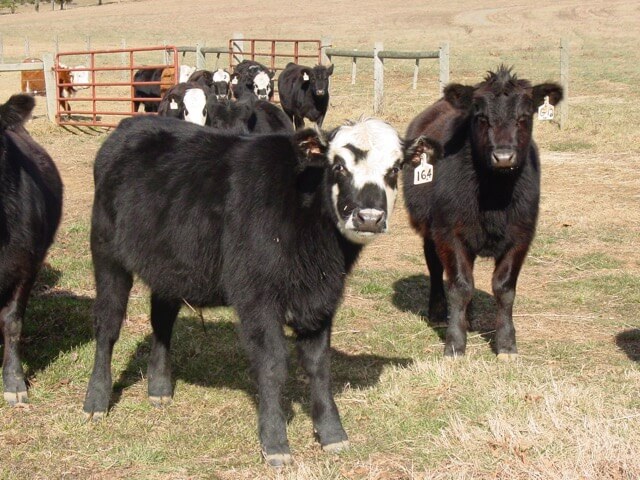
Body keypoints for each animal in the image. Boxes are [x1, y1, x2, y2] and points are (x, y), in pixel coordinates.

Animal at [82, 115, 403, 466]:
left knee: (162, 321)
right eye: (339, 167)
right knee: (108, 325)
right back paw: (96, 400)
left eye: (395, 169)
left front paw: (333, 434)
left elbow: (319, 364)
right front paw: (275, 442)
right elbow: (273, 365)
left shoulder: (321, 300)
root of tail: (130, 125)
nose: (369, 218)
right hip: (107, 253)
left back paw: (159, 388)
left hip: (170, 267)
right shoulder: (257, 298)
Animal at [402, 65, 563, 360]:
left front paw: (507, 345)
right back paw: (439, 312)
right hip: (429, 229)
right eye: (481, 118)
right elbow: (460, 286)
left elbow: (504, 289)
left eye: (524, 117)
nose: (504, 156)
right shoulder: (449, 234)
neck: (494, 195)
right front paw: (455, 344)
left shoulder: (521, 236)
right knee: (435, 267)